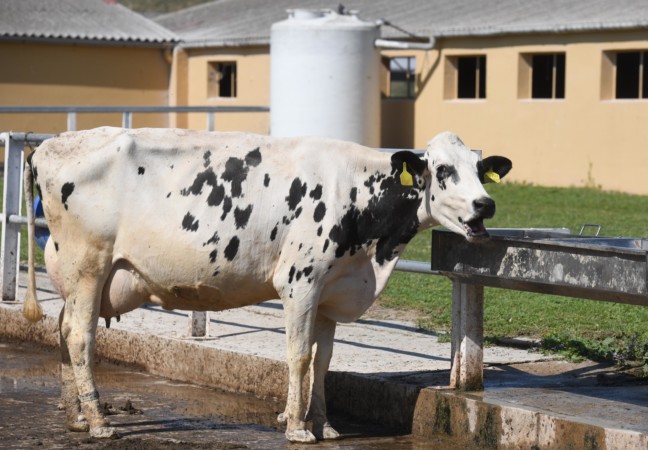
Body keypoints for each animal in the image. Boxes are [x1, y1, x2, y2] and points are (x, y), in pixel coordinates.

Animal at [22, 127, 511, 443]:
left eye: (479, 170)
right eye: (443, 170)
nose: (485, 205)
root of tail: (50, 144)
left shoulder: (331, 293)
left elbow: (323, 362)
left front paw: (325, 425)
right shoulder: (300, 281)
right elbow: (298, 357)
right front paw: (296, 427)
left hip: (76, 277)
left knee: (63, 331)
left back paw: (75, 418)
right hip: (89, 266)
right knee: (80, 337)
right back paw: (98, 422)